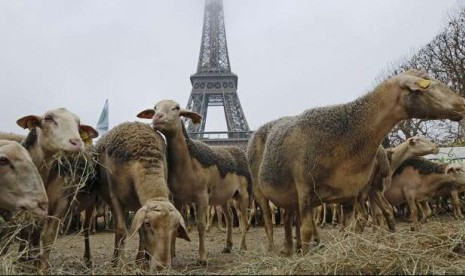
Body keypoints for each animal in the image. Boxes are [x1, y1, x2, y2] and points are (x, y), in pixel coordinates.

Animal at [95, 122, 189, 268]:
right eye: (148, 224)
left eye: (175, 227)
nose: (162, 266)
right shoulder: (114, 198)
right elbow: (121, 230)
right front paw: (118, 264)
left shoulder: (140, 204)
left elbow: (140, 232)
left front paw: (140, 261)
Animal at [136, 98, 252, 264]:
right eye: (155, 108)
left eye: (177, 108)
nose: (157, 117)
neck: (188, 163)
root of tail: (237, 150)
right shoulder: (178, 198)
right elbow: (178, 221)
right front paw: (172, 255)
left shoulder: (202, 197)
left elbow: (201, 225)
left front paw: (202, 257)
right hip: (224, 197)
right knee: (230, 218)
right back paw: (228, 246)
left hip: (243, 194)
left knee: (243, 219)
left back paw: (242, 247)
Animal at [256, 69, 464, 254]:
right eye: (428, 83)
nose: (462, 102)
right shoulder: (308, 189)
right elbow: (313, 226)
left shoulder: (353, 191)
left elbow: (363, 218)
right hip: (262, 192)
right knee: (269, 219)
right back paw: (274, 248)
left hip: (289, 196)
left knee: (288, 217)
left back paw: (290, 247)